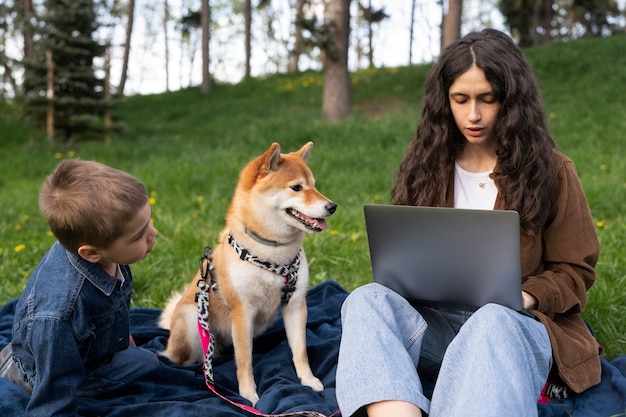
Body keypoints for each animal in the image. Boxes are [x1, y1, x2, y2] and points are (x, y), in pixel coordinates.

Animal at [160, 142, 336, 404]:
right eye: (296, 187)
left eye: (314, 185)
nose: (332, 206)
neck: (273, 253)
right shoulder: (243, 312)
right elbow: (245, 361)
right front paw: (249, 395)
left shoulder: (295, 305)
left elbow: (300, 350)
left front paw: (308, 380)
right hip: (192, 321)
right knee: (181, 356)